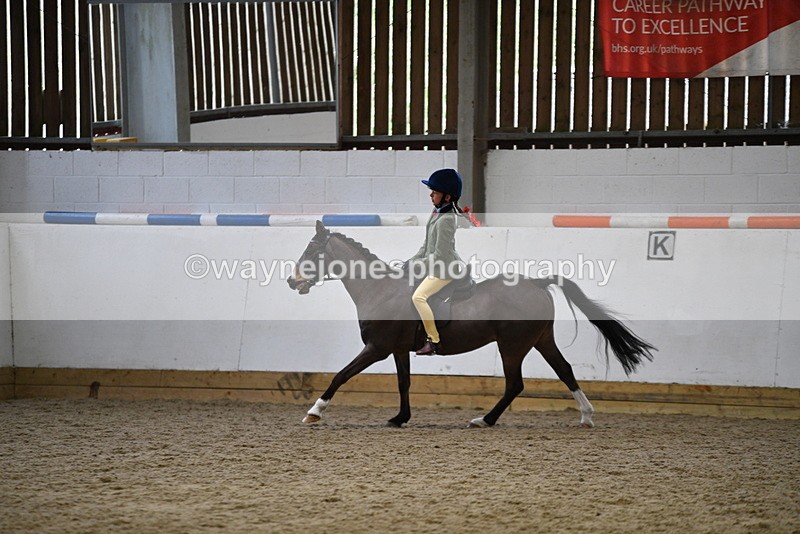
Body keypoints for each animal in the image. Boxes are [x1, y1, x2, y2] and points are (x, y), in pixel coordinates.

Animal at [287, 221, 655, 428]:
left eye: (312, 251)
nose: (292, 281)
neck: (379, 289)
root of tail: (536, 282)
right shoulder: (397, 349)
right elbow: (404, 383)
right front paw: (400, 418)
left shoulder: (376, 348)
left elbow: (341, 375)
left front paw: (314, 412)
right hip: (540, 339)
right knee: (564, 370)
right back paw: (586, 416)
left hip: (512, 345)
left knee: (514, 384)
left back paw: (485, 420)